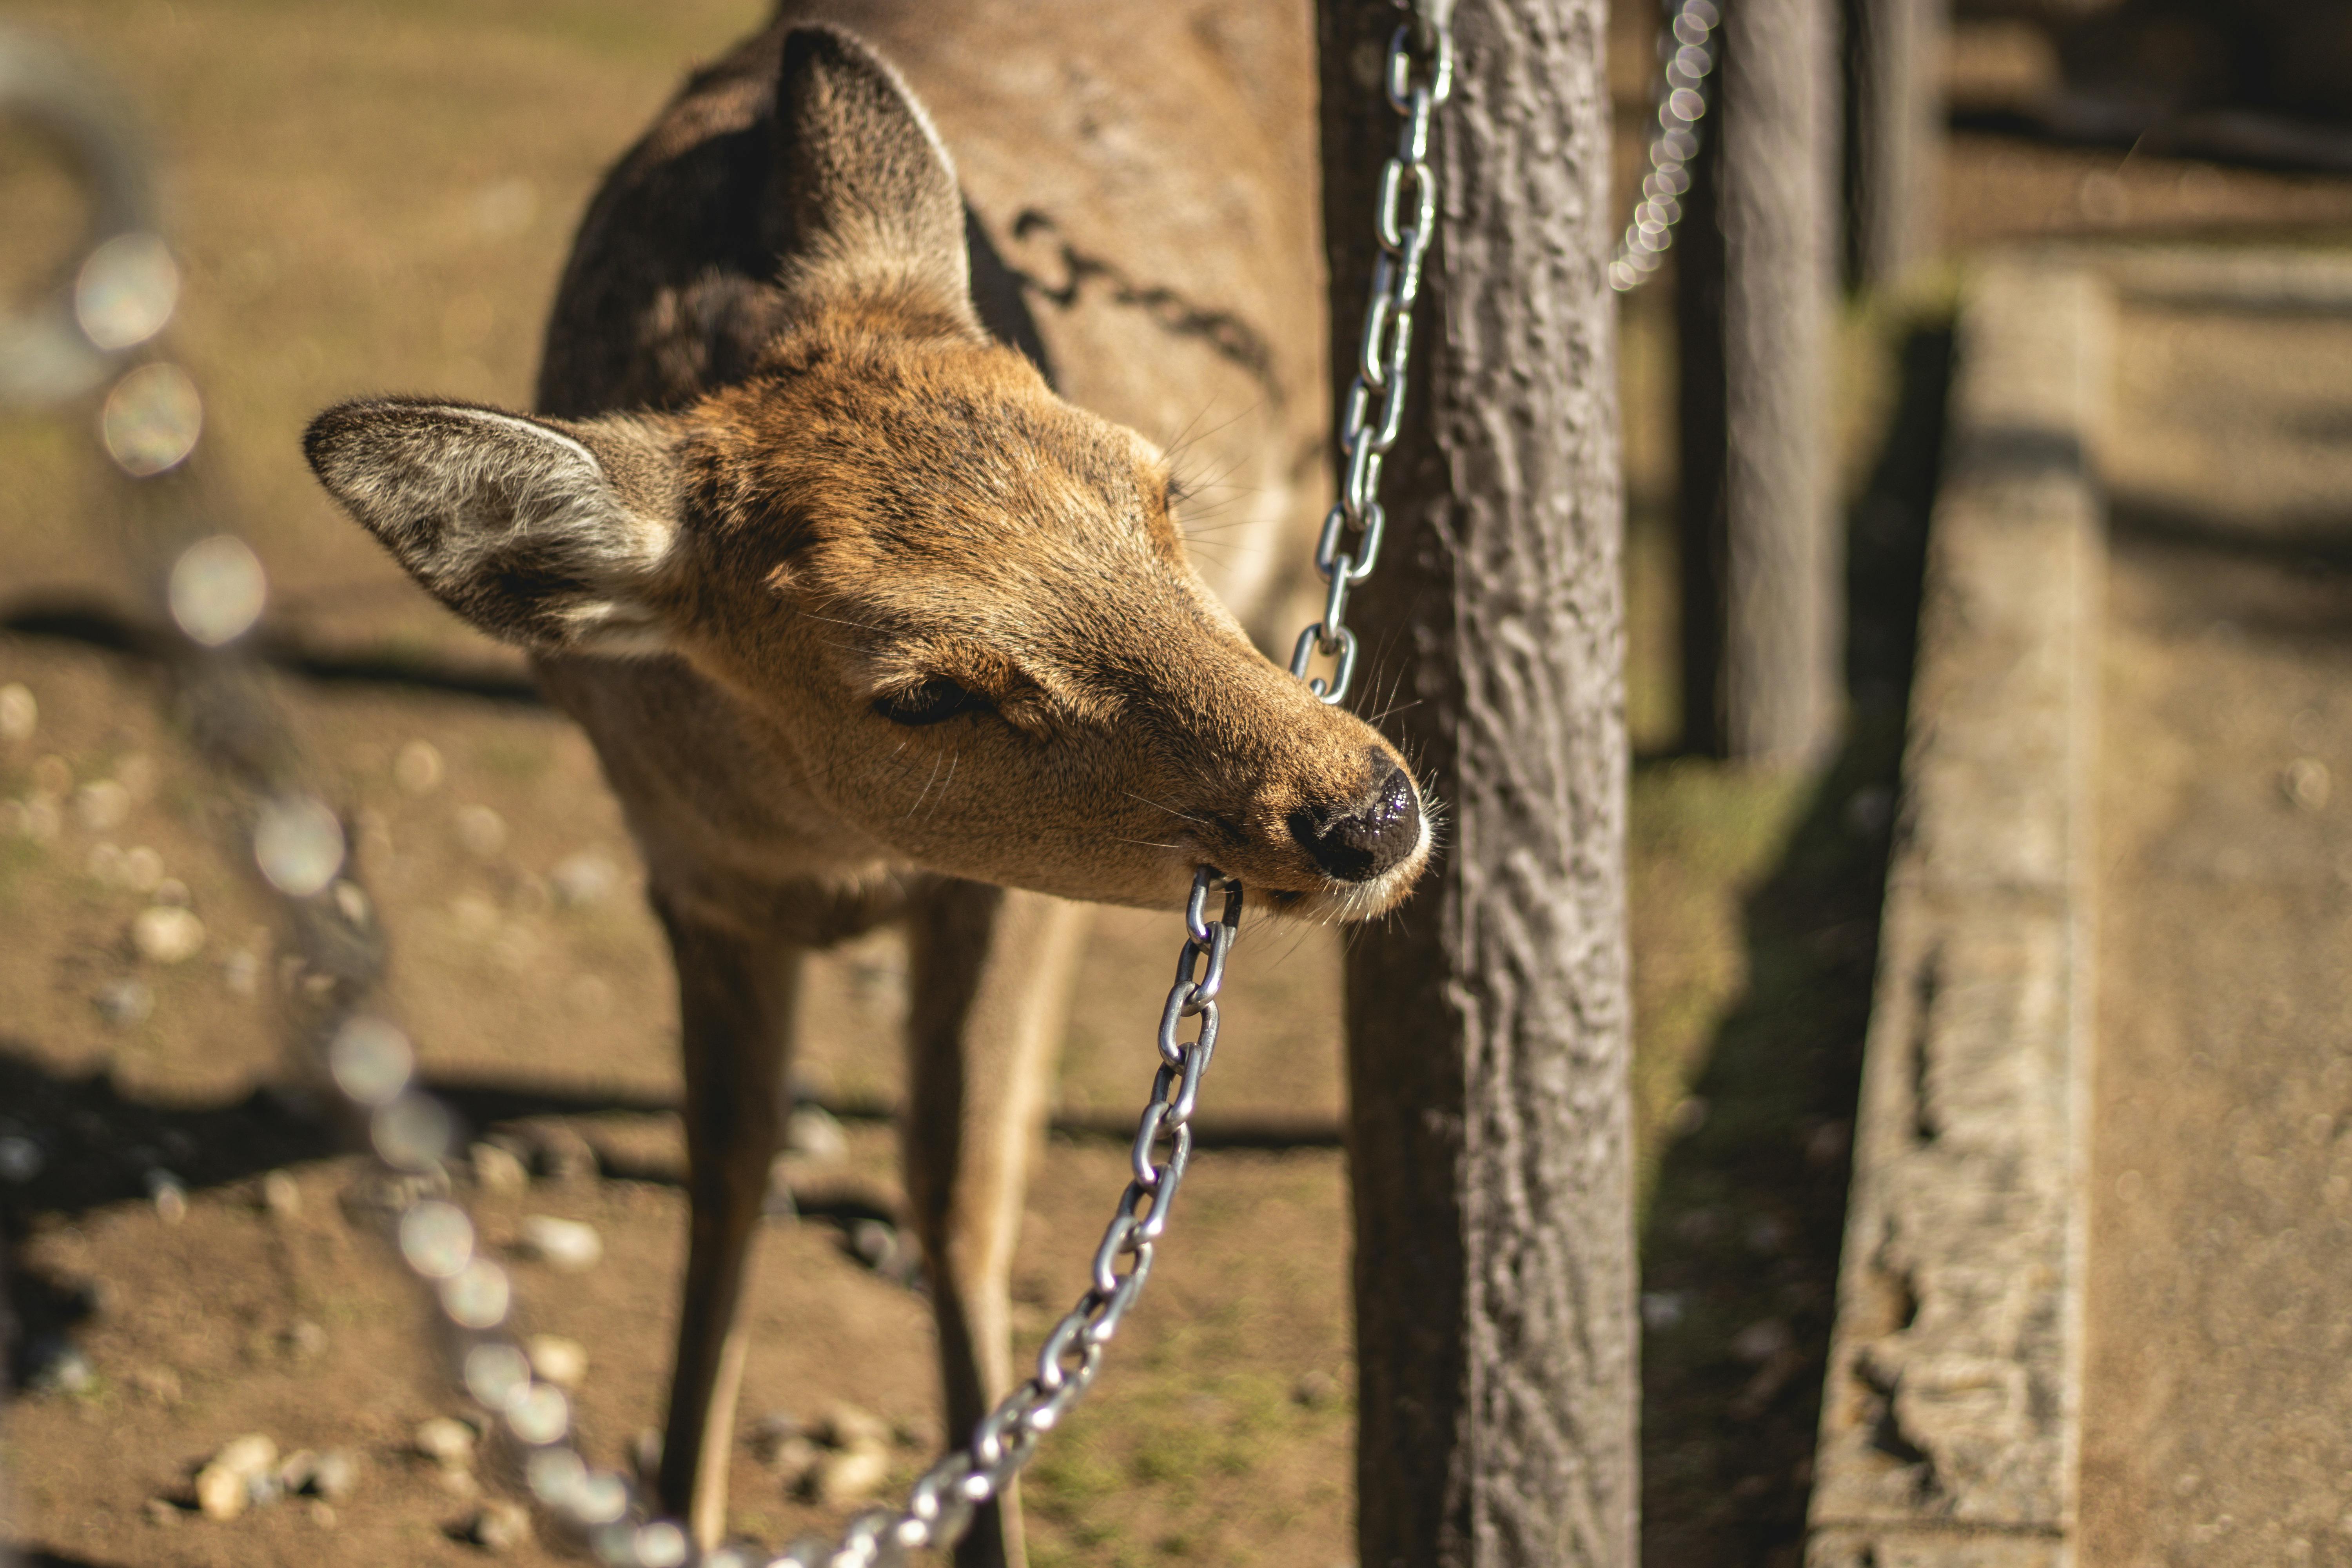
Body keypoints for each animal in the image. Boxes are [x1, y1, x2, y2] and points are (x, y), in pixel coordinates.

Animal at [302, 7, 1429, 1565]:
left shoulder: (1007, 900)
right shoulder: (689, 876)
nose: (1366, 809)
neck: (826, 854)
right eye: (920, 691)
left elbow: (959, 1190)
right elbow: (728, 1170)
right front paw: (676, 1502)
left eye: (1157, 491)